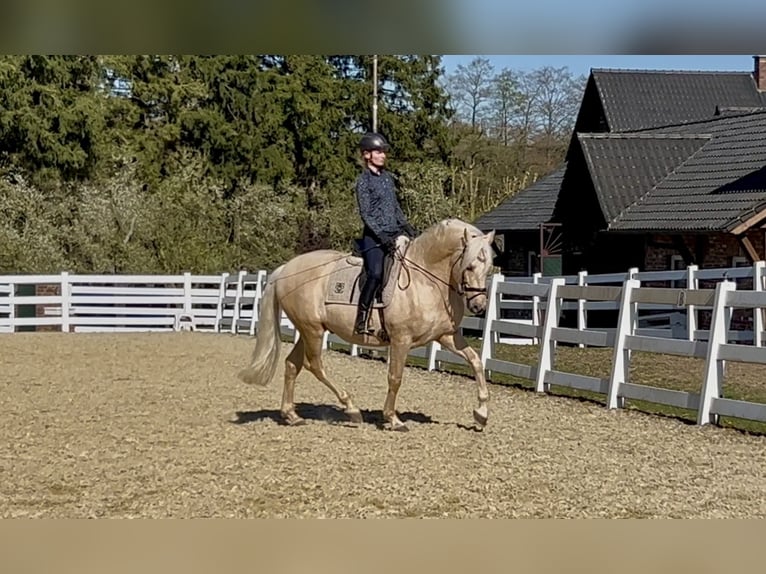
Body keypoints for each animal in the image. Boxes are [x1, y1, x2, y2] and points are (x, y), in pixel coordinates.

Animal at [238, 218, 496, 432]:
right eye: (469, 266)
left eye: (489, 267)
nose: (479, 306)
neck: (426, 280)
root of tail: (286, 268)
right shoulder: (401, 340)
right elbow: (395, 378)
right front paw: (393, 419)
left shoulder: (446, 336)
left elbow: (476, 362)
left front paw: (482, 414)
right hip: (313, 330)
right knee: (315, 365)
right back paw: (351, 408)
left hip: (307, 330)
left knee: (292, 365)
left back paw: (292, 415)